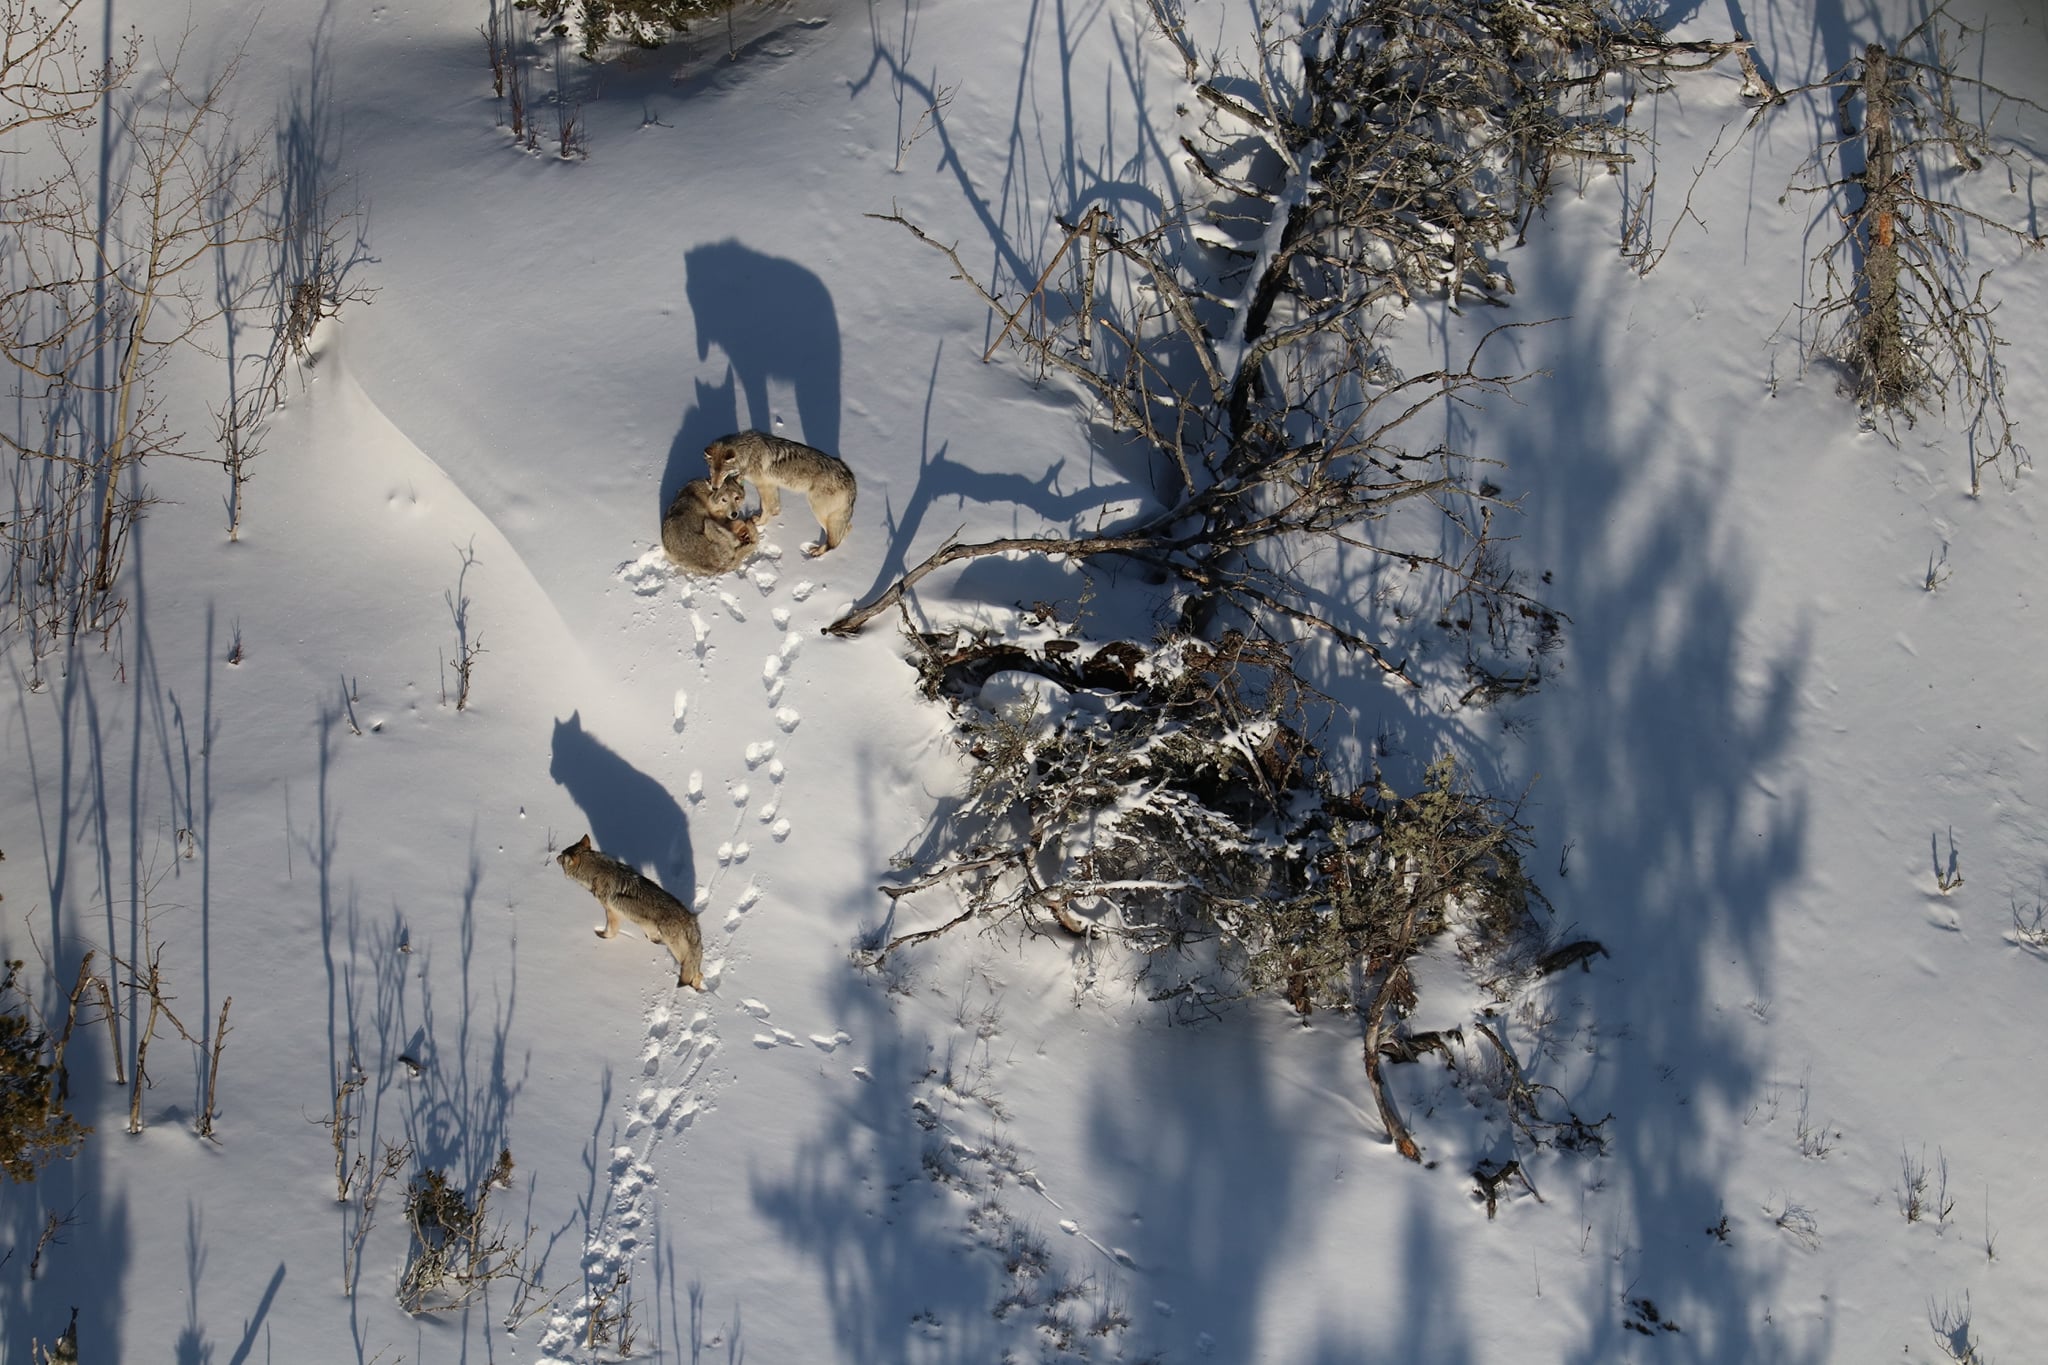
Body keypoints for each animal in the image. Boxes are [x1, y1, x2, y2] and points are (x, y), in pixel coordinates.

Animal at [557, 834, 706, 989]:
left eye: (562, 856)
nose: (556, 857)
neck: (596, 871)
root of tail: (691, 919)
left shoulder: (611, 912)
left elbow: (611, 931)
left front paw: (602, 936)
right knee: (699, 973)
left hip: (678, 951)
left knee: (695, 972)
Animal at [703, 430, 856, 557]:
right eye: (712, 471)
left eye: (722, 473)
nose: (714, 488)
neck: (748, 452)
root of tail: (851, 478)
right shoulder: (771, 485)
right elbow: (772, 504)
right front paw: (774, 513)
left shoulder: (763, 486)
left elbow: (766, 507)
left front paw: (760, 522)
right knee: (846, 529)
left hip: (819, 511)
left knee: (834, 540)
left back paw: (818, 552)